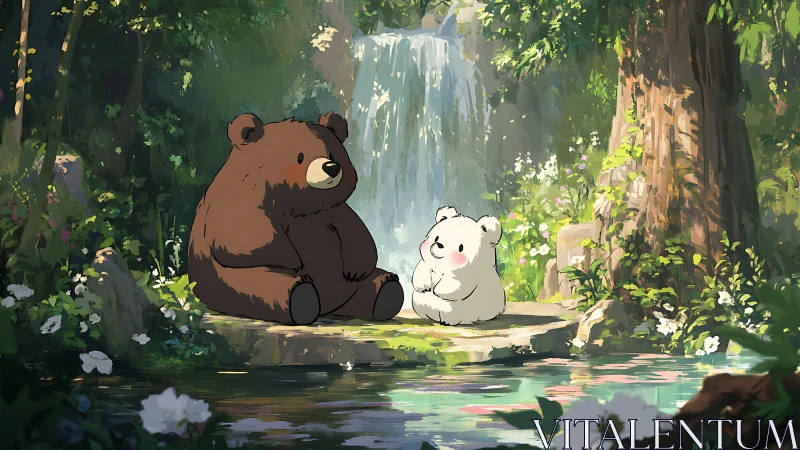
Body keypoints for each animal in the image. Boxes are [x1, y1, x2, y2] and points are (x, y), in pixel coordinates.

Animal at [187, 111, 405, 325]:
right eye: (300, 156)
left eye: (333, 154)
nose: (331, 167)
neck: (298, 205)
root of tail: (329, 306)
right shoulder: (234, 205)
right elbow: (243, 237)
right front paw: (294, 261)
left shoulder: (331, 211)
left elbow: (357, 234)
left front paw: (356, 268)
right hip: (229, 281)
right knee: (267, 286)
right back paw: (302, 296)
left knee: (370, 281)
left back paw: (387, 291)